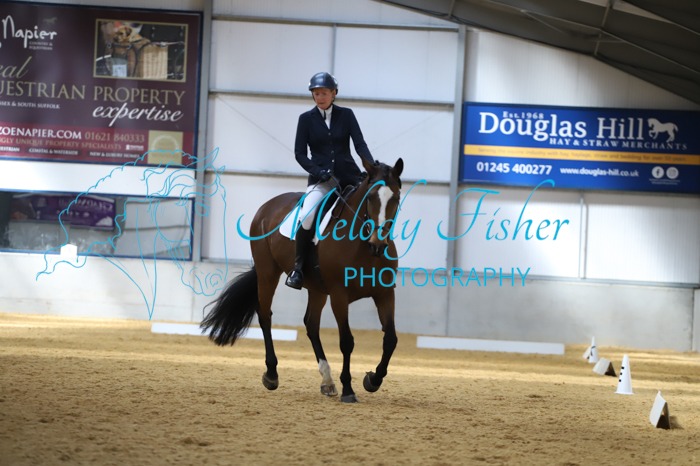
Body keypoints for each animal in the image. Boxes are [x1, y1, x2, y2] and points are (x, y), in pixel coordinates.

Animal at [201, 157, 404, 403]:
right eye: (371, 197)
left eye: (396, 197)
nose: (378, 244)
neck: (363, 247)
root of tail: (267, 206)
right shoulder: (339, 295)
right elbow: (346, 341)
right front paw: (348, 389)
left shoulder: (385, 293)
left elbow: (390, 339)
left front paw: (373, 380)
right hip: (268, 272)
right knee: (265, 316)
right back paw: (272, 374)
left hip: (317, 289)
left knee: (311, 324)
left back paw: (327, 381)